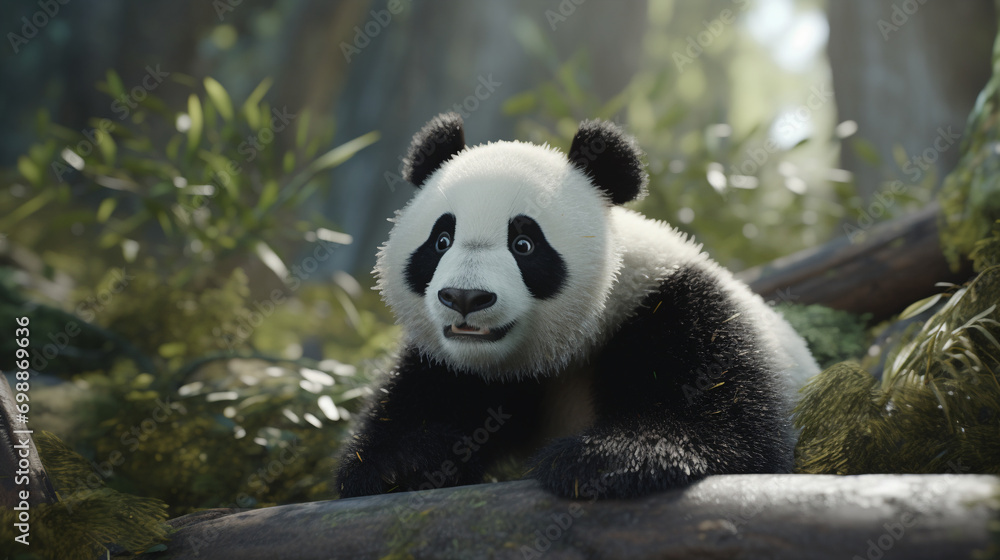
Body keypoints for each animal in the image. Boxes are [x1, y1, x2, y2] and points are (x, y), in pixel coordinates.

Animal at [336, 112, 819, 500]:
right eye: (440, 240)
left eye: (525, 244)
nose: (465, 298)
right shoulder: (445, 364)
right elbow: (398, 424)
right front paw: (407, 463)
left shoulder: (676, 305)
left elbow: (733, 431)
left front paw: (605, 459)